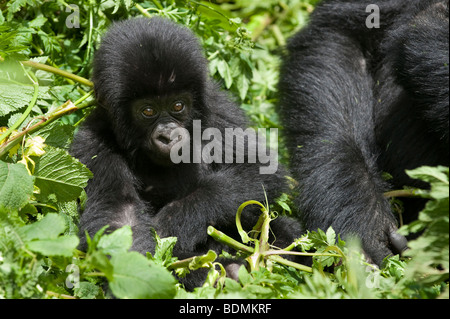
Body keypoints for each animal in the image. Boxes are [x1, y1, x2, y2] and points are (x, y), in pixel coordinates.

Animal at [70, 16, 302, 288]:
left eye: (178, 106)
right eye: (148, 111)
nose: (169, 135)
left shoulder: (217, 110)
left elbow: (258, 168)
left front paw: (177, 219)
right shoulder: (92, 141)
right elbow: (119, 217)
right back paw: (227, 271)